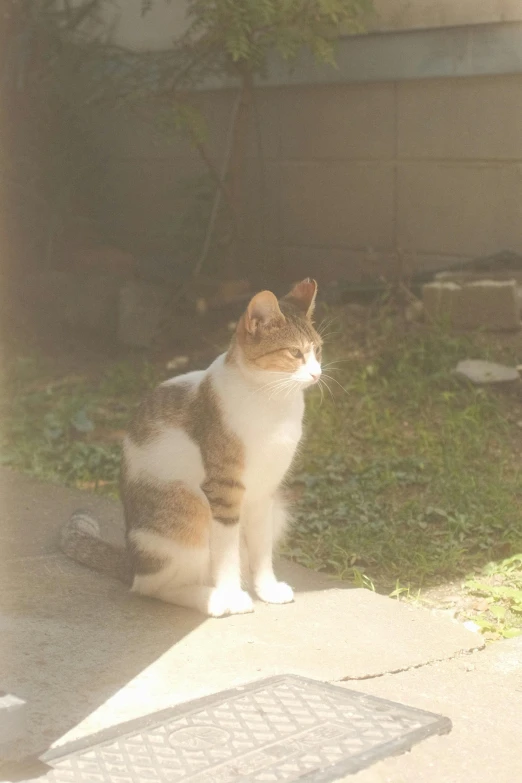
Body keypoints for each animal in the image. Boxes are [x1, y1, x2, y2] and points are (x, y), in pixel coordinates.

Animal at [60, 278, 320, 616]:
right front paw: (233, 595)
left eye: (317, 349)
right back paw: (213, 599)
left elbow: (261, 549)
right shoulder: (224, 491)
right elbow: (226, 554)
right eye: (294, 352)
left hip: (276, 512)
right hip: (188, 511)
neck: (272, 402)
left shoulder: (265, 493)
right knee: (152, 586)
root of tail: (131, 560)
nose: (317, 373)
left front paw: (268, 589)